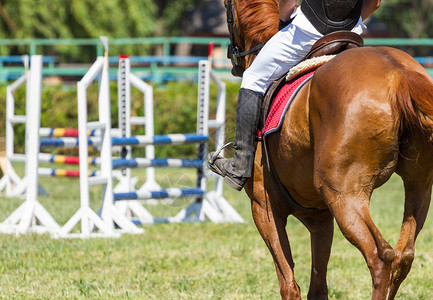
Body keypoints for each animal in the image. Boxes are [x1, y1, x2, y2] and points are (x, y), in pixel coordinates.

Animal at [226, 0, 432, 300]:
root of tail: (399, 75)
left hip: (344, 195)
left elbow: (289, 285)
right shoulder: (320, 217)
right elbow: (317, 286)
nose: (233, 60)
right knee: (404, 255)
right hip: (418, 185)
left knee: (381, 257)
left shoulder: (263, 207)